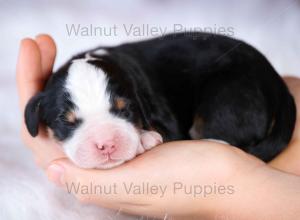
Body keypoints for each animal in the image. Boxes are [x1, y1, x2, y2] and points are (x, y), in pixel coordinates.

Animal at [24, 32, 296, 169]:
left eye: (126, 111)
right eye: (65, 120)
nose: (107, 144)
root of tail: (275, 78)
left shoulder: (165, 118)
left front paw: (144, 139)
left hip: (229, 96)